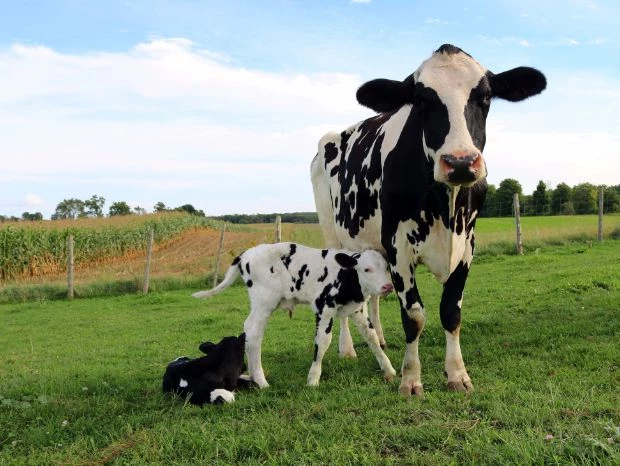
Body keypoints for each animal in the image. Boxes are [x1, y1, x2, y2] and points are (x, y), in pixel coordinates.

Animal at [194, 242, 398, 388]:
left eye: (387, 267)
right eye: (367, 269)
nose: (387, 286)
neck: (346, 277)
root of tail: (246, 254)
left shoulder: (357, 309)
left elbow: (372, 337)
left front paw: (388, 368)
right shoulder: (323, 308)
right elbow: (323, 341)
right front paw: (313, 379)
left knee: (247, 329)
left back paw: (252, 376)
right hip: (264, 303)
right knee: (253, 334)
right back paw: (261, 380)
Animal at [312, 43, 544, 396]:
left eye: (485, 97)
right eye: (421, 101)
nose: (460, 162)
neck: (444, 206)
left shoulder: (467, 245)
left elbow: (451, 311)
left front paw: (457, 374)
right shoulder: (398, 247)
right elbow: (414, 316)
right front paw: (410, 379)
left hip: (371, 247)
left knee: (374, 297)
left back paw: (379, 337)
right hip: (333, 235)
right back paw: (347, 348)